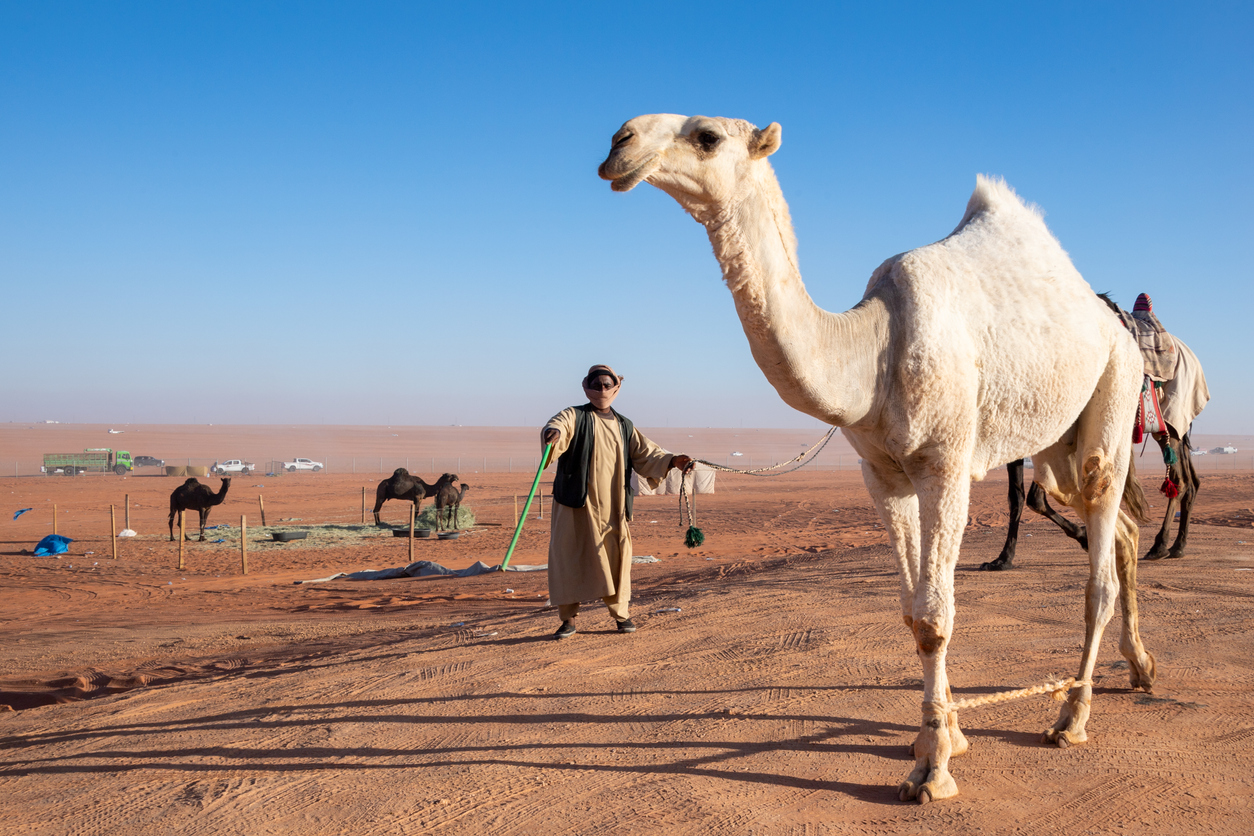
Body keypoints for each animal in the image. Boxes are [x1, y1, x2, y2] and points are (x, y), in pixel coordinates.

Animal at [596, 114, 1153, 802]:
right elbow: (912, 613)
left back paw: (1072, 717)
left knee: (1100, 557)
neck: (870, 353)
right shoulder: (883, 475)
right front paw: (944, 736)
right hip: (1056, 443)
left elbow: (937, 617)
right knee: (1121, 527)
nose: (620, 143)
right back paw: (1141, 667)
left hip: (1114, 391)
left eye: (707, 136)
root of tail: (1115, 321)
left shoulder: (945, 463)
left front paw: (932, 770)